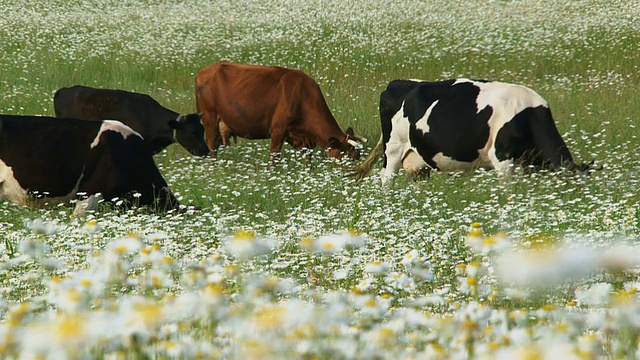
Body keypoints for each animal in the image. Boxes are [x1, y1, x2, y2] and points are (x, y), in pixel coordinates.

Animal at [195, 61, 364, 159]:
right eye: (348, 156)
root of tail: (203, 71)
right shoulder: (278, 130)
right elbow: (274, 157)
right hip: (209, 116)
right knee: (212, 145)